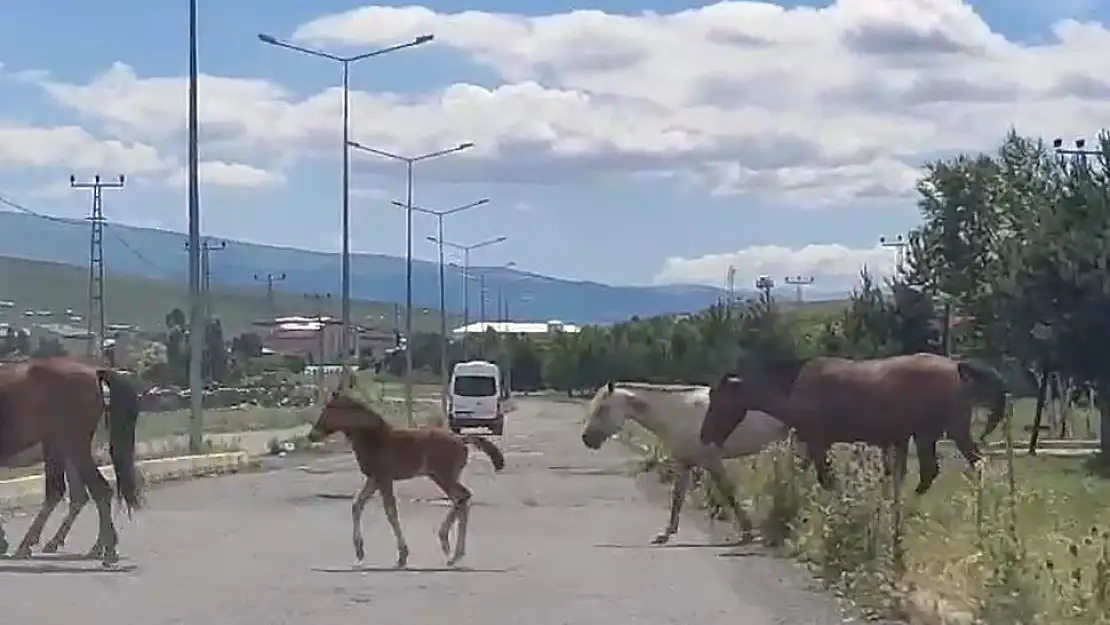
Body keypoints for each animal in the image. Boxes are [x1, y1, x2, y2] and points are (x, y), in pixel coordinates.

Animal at [0, 357, 143, 568]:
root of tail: (94, 371)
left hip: (72, 446)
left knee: (94, 490)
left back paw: (106, 550)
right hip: (63, 448)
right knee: (74, 494)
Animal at [310, 384, 506, 568]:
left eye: (329, 409)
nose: (312, 435)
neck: (374, 439)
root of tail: (462, 440)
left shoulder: (384, 479)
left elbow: (390, 512)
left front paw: (402, 555)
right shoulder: (374, 479)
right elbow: (357, 505)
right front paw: (359, 551)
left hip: (444, 476)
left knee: (463, 497)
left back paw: (448, 547)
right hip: (442, 477)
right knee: (461, 500)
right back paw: (454, 553)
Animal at [581, 379, 790, 546]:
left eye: (602, 408)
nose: (586, 439)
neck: (678, 413)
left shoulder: (712, 461)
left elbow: (728, 493)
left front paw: (747, 533)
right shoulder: (684, 463)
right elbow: (677, 497)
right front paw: (666, 534)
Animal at [701, 353, 1007, 495]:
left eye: (718, 400)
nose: (704, 435)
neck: (794, 388)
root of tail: (956, 365)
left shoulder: (818, 443)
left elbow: (826, 480)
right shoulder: (810, 443)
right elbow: (803, 473)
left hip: (942, 432)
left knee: (971, 465)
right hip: (926, 436)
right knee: (932, 472)